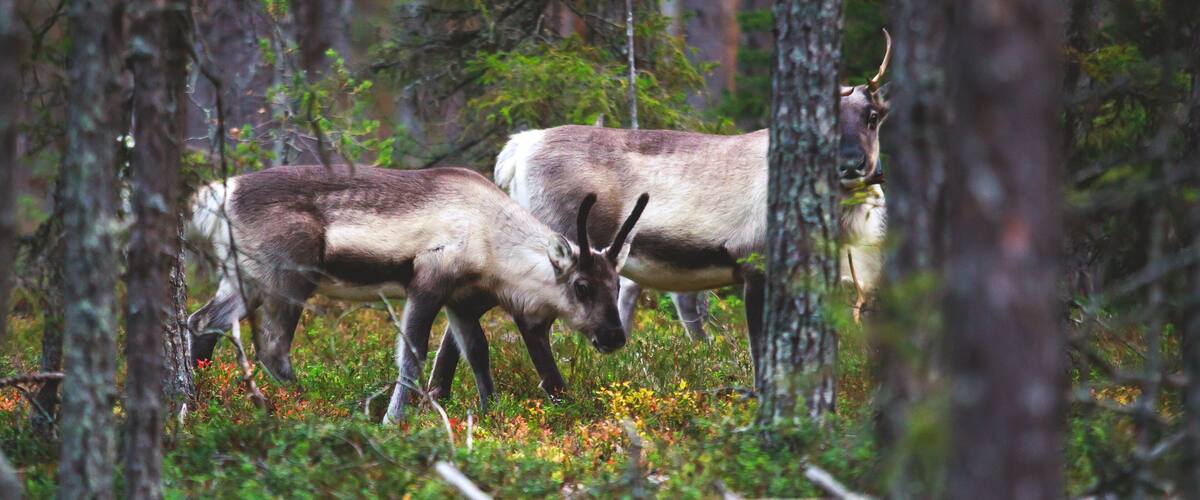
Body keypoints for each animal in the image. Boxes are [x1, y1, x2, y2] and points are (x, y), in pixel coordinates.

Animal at [184, 164, 649, 422]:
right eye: (581, 285)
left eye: (616, 282)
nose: (614, 337)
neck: (490, 240)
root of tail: (215, 196)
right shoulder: (427, 282)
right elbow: (413, 354)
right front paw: (394, 420)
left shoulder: (460, 301)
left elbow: (477, 352)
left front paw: (491, 411)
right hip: (287, 279)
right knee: (273, 346)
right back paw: (311, 405)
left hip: (244, 278)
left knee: (201, 321)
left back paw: (199, 398)